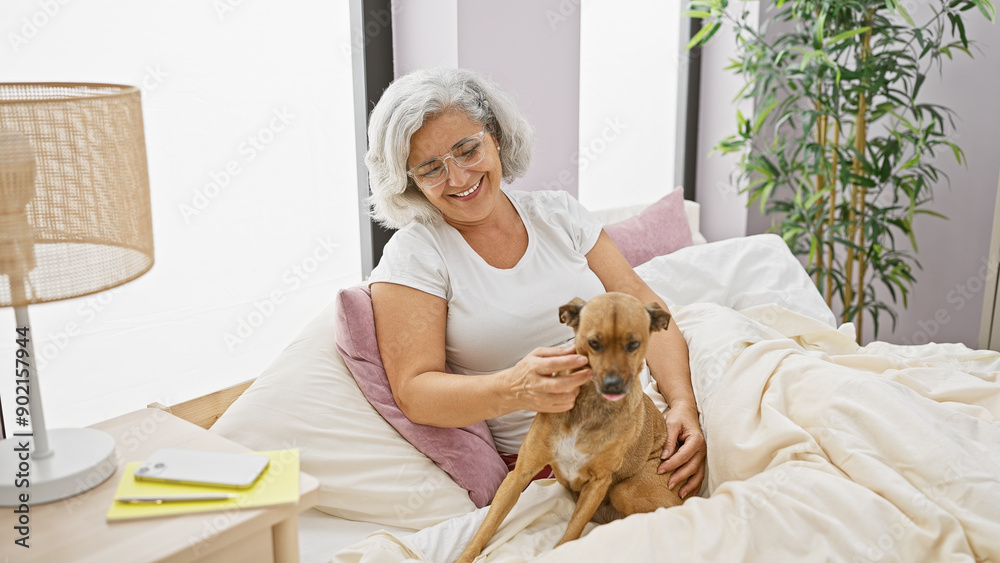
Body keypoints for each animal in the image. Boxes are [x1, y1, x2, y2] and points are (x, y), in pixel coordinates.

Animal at [456, 294, 684, 560]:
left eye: (634, 344)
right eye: (593, 343)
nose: (613, 385)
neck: (588, 407)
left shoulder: (598, 484)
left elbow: (571, 533)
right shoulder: (519, 474)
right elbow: (485, 529)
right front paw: (465, 556)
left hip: (624, 490)